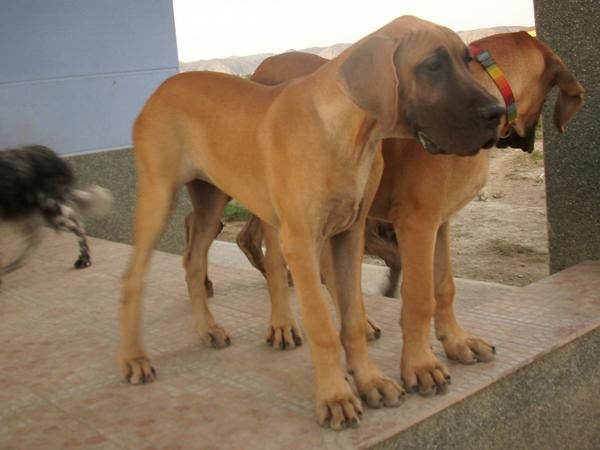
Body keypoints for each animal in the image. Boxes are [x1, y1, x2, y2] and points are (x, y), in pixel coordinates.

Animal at [0, 146, 111, 282]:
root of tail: (57, 158)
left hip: (54, 213)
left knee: (78, 230)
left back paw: (84, 260)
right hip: (26, 216)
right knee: (36, 239)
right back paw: (13, 266)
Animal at [119, 14, 504, 428]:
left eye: (467, 61)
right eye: (432, 65)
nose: (497, 113)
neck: (350, 132)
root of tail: (163, 86)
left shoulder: (349, 234)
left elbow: (353, 317)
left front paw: (369, 381)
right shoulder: (304, 241)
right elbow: (324, 326)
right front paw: (336, 396)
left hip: (213, 197)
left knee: (195, 257)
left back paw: (208, 328)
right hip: (159, 197)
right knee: (134, 275)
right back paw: (134, 358)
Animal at [229, 31, 580, 396]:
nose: (528, 142)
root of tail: (260, 69)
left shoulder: (439, 223)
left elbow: (444, 287)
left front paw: (456, 342)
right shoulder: (417, 224)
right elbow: (418, 296)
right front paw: (420, 365)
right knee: (272, 256)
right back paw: (283, 323)